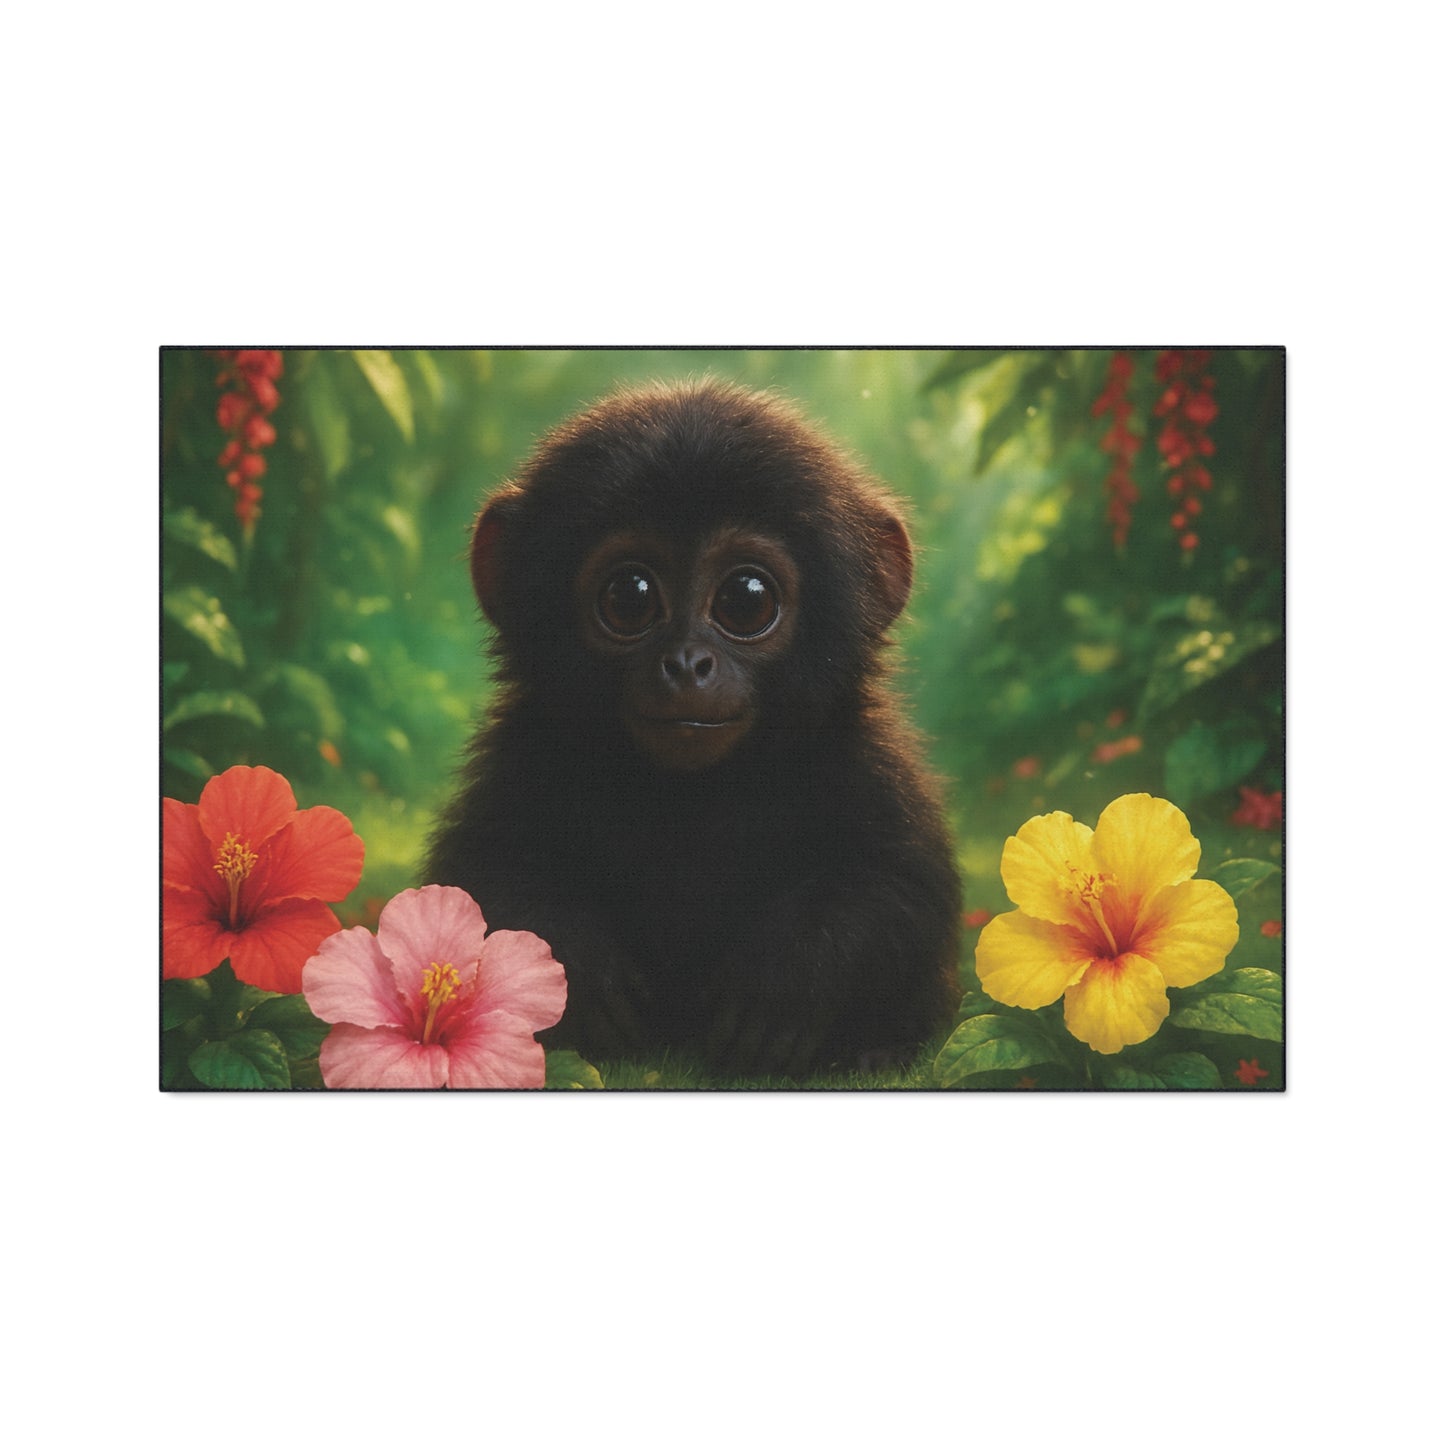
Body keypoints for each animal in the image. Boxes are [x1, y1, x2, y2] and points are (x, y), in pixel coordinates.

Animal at [423, 378, 961, 1078]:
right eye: (629, 595)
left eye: (746, 598)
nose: (686, 662)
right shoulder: (524, 754)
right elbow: (482, 878)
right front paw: (580, 968)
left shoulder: (865, 759)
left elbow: (900, 886)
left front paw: (788, 978)